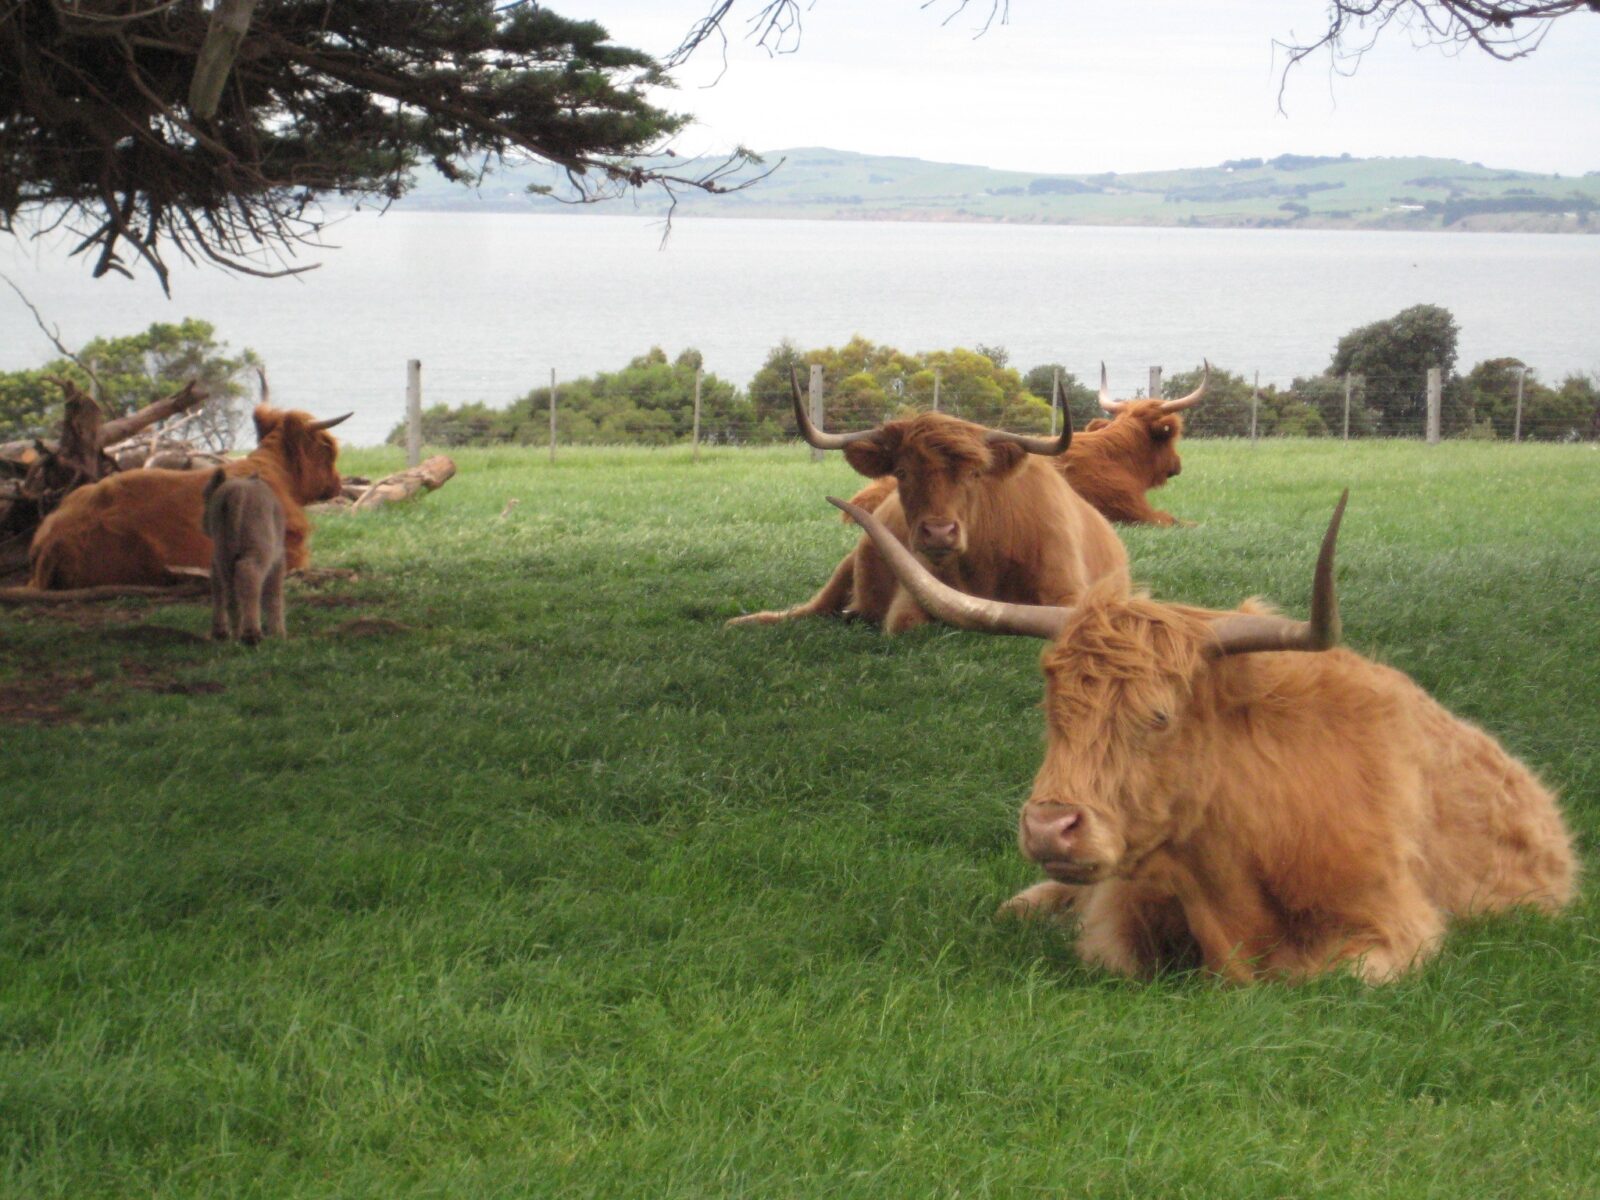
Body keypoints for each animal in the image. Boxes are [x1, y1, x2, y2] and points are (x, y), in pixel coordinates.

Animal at [203, 467, 288, 643]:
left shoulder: (216, 561)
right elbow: (275, 596)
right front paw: (279, 634)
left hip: (224, 555)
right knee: (249, 578)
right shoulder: (278, 560)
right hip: (257, 553)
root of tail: (236, 492)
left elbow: (217, 590)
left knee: (229, 591)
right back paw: (251, 635)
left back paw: (233, 634)